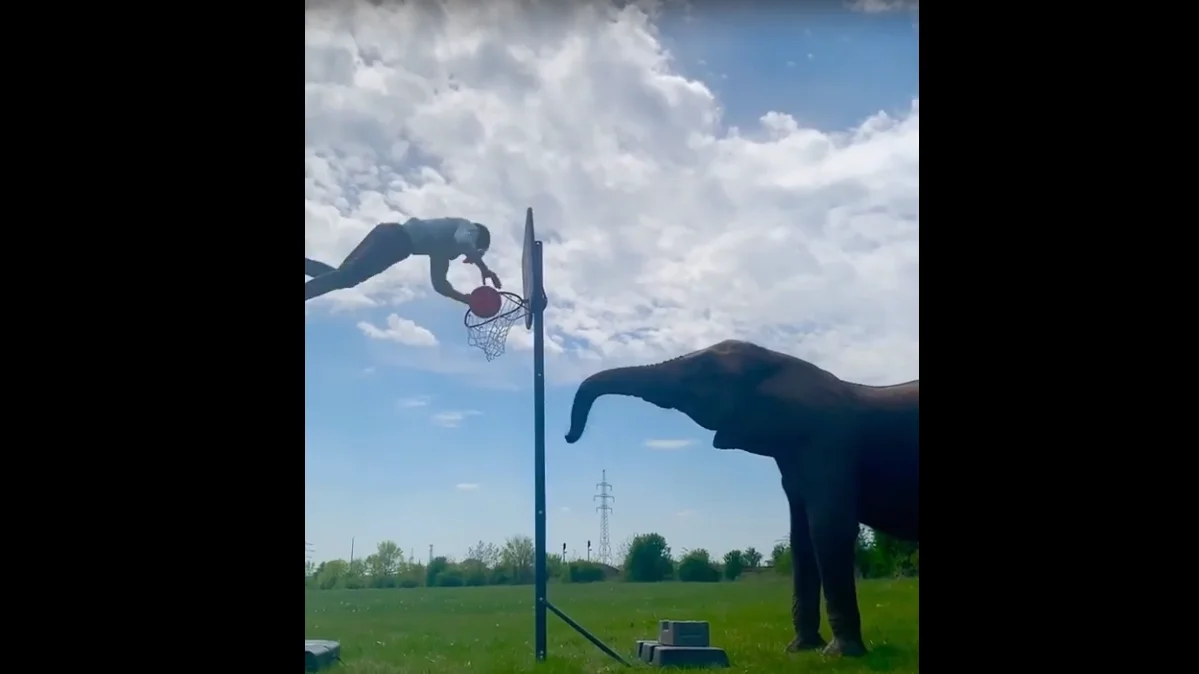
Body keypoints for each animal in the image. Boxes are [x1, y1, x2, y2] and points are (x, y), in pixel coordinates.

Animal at [561, 338, 916, 652]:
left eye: (703, 373)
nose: (568, 437)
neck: (781, 363)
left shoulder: (828, 447)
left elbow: (828, 531)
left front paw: (839, 654)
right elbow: (801, 539)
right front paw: (800, 649)